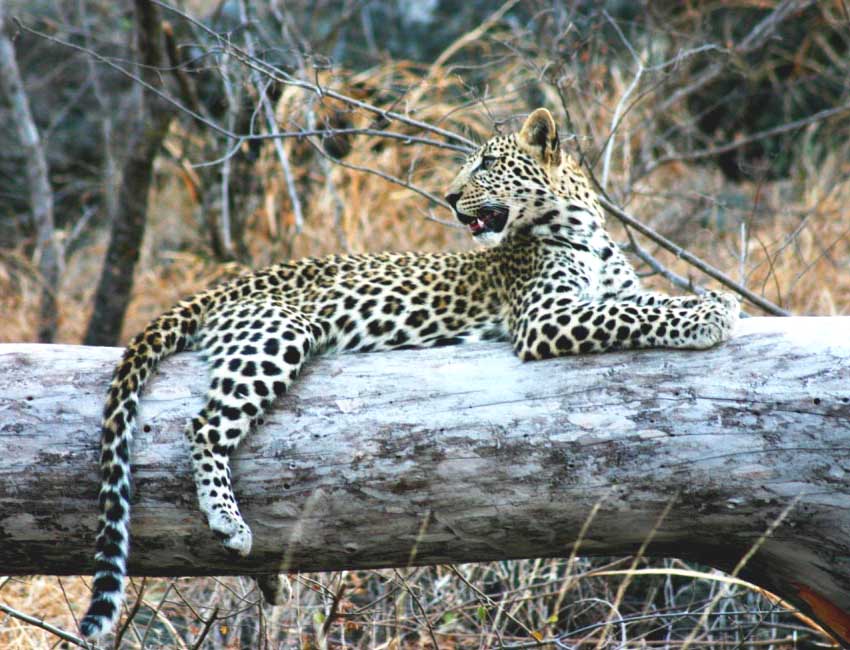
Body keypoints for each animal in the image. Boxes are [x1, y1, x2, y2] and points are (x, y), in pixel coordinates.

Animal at [80, 108, 739, 638]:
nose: (447, 197)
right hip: (278, 334)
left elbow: (645, 300)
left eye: (486, 164)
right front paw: (710, 315)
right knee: (205, 426)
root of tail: (221, 287)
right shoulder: (546, 317)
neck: (583, 227)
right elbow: (637, 313)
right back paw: (228, 522)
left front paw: (713, 299)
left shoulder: (604, 293)